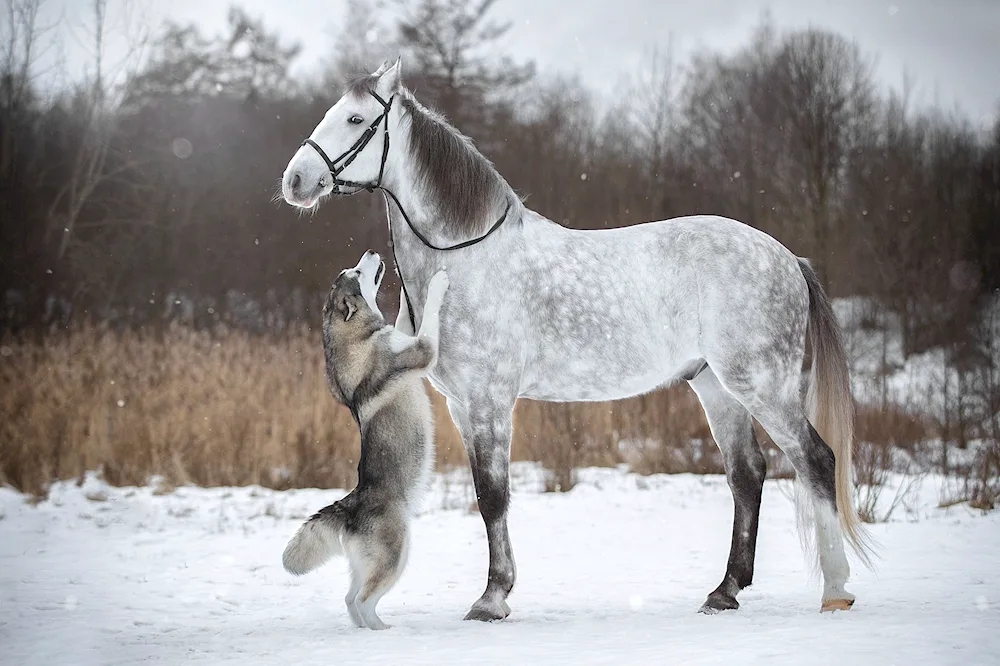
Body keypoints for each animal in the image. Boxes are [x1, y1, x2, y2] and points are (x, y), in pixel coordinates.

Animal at [284, 249, 452, 628]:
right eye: (357, 272)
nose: (374, 252)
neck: (357, 336)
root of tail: (350, 506)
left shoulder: (405, 337)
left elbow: (404, 318)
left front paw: (405, 293)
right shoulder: (422, 349)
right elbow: (429, 318)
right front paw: (437, 282)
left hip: (368, 563)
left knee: (350, 599)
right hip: (396, 555)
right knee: (362, 600)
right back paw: (382, 630)